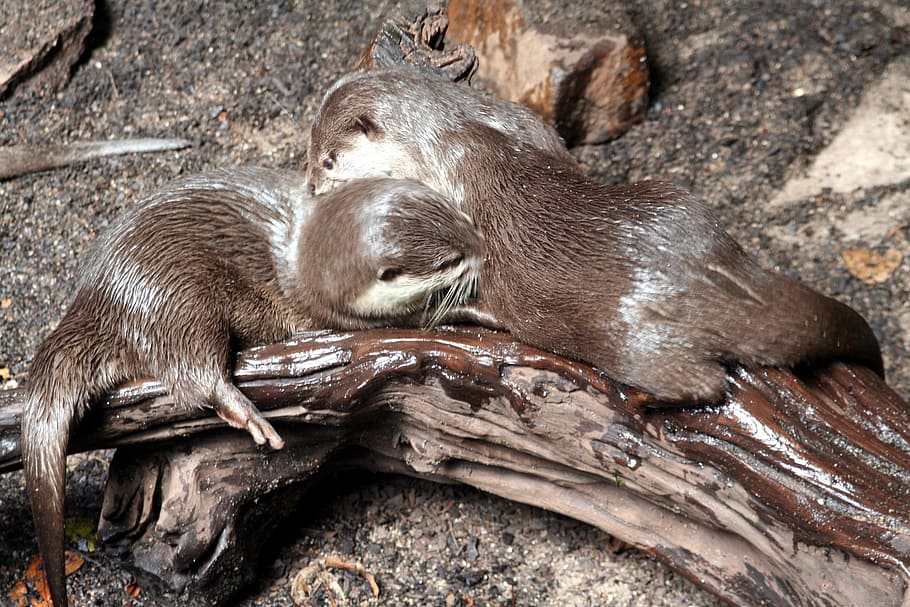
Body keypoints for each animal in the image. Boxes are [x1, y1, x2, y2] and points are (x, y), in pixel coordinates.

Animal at [21, 167, 484, 607]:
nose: (483, 251)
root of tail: (98, 300)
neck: (304, 257)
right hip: (174, 298)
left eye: (464, 219)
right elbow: (409, 321)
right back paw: (248, 416)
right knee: (194, 371)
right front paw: (464, 310)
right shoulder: (335, 311)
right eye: (449, 260)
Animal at [306, 66, 883, 403]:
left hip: (632, 342)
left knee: (701, 384)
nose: (310, 185)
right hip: (681, 200)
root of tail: (716, 283)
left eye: (328, 159)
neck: (449, 131)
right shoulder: (522, 119)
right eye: (309, 153)